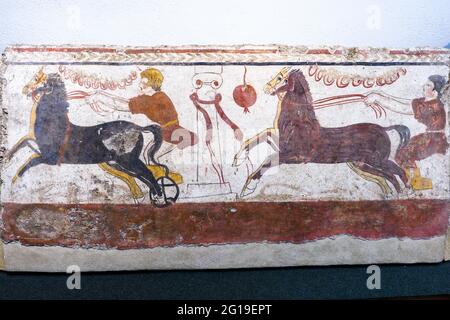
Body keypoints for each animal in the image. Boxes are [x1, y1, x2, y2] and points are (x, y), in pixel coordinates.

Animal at [7, 68, 178, 208]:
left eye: (39, 79)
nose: (25, 90)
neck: (55, 125)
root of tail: (137, 127)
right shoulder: (36, 145)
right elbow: (21, 143)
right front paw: (7, 158)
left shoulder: (49, 158)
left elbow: (28, 162)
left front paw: (14, 181)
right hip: (117, 163)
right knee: (142, 177)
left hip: (128, 160)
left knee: (148, 174)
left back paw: (160, 199)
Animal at [237, 69, 410, 196]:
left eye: (281, 78)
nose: (266, 88)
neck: (298, 124)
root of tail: (384, 129)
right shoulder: (280, 144)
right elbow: (263, 135)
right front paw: (238, 159)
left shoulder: (296, 156)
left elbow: (268, 160)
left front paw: (249, 186)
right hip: (362, 164)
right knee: (389, 176)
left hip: (377, 160)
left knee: (397, 171)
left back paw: (407, 191)